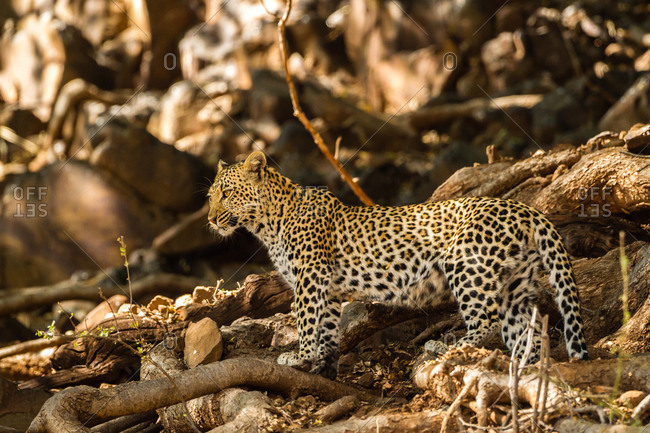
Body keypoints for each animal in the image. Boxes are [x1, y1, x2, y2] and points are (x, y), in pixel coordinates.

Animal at [207, 151, 588, 379]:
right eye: (210, 196)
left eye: (227, 194)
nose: (210, 219)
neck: (268, 223)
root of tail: (529, 209)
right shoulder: (327, 289)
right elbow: (327, 328)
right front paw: (323, 366)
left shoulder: (310, 277)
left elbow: (305, 320)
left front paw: (299, 357)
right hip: (513, 283)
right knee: (527, 331)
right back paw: (526, 365)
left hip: (466, 264)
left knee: (487, 320)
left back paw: (447, 347)